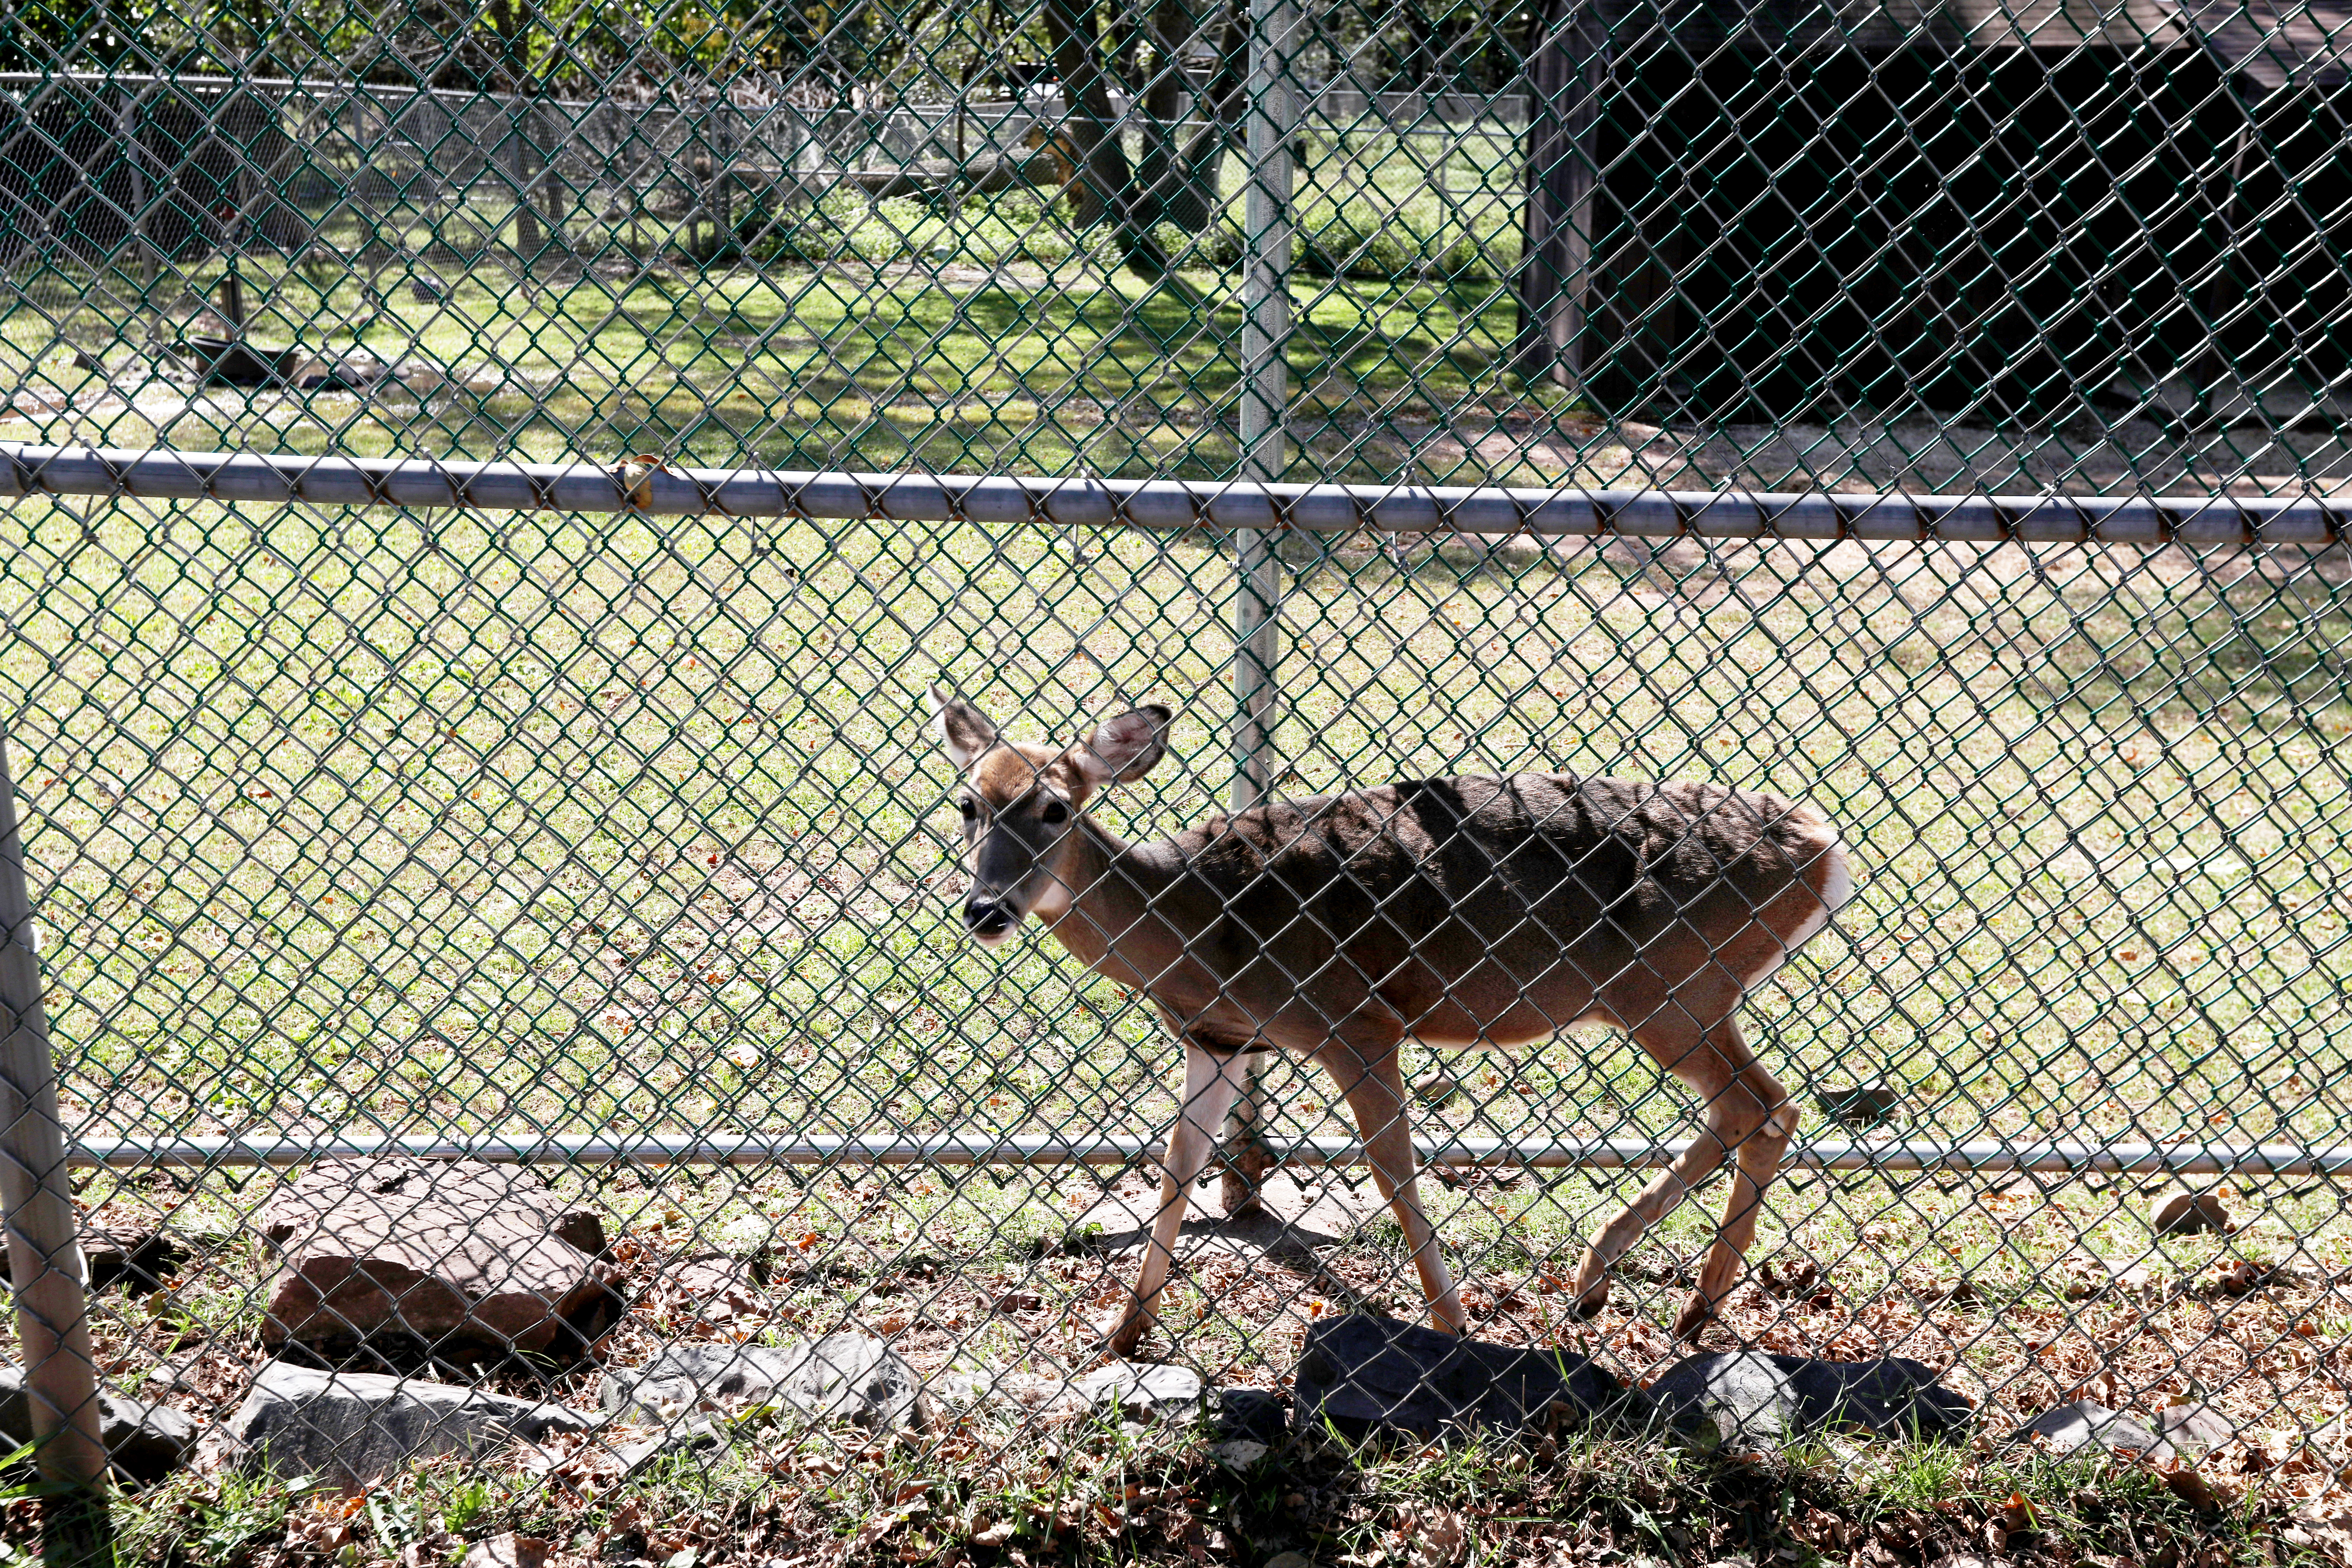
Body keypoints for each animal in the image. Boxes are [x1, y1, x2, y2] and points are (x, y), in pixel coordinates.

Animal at [931, 691, 1853, 1363]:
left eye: (1055, 807)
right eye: (970, 802)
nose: (984, 909)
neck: (1205, 924)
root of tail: (1823, 850)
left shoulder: (1356, 1020)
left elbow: (1393, 1172)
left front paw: (1452, 1324)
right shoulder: (1220, 1042)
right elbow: (1176, 1167)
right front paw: (1124, 1334)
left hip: (1673, 988)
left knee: (1758, 1103)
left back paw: (1659, 1300)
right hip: (1686, 997)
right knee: (1760, 1107)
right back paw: (1633, 1295)